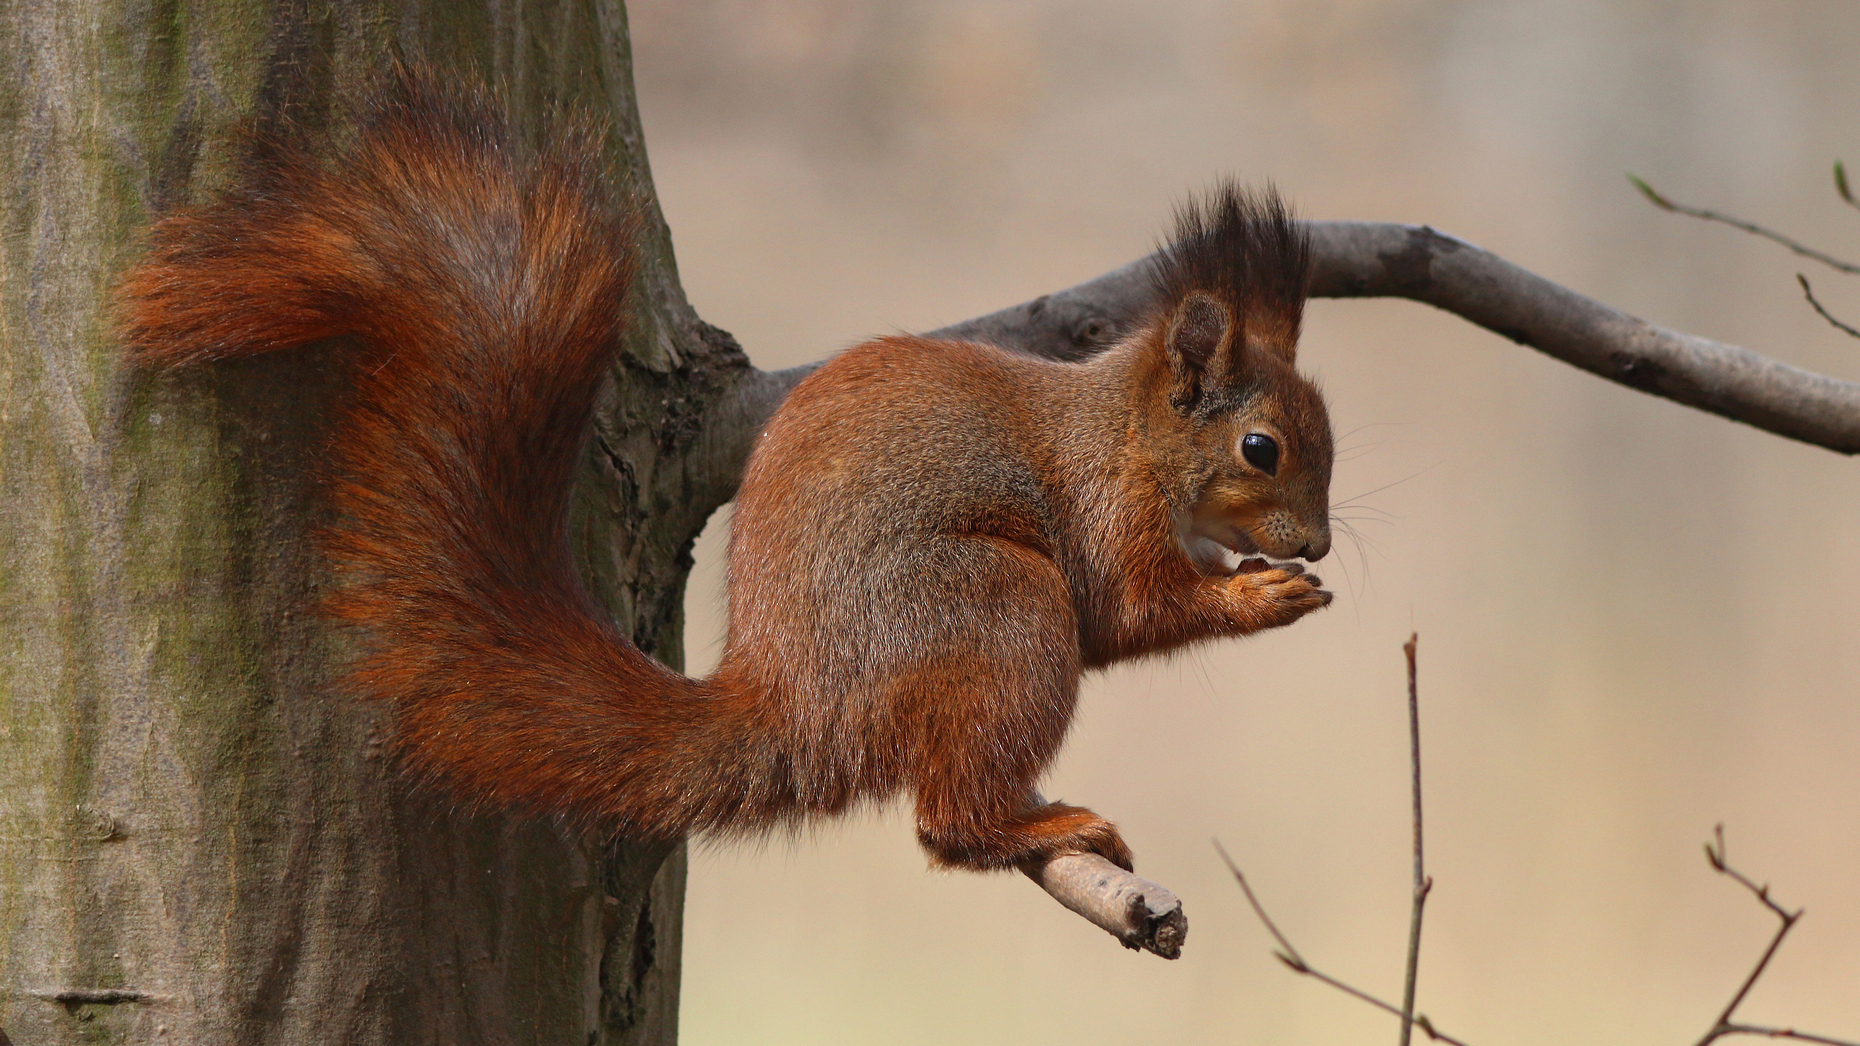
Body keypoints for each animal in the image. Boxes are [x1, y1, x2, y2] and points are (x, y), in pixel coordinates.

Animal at [116, 75, 1331, 871]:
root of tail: (797, 699)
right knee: (947, 820)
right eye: (1261, 447)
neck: (1131, 434)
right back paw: (1033, 823)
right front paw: (1259, 596)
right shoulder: (1103, 506)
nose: (1317, 543)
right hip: (991, 610)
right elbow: (1126, 609)